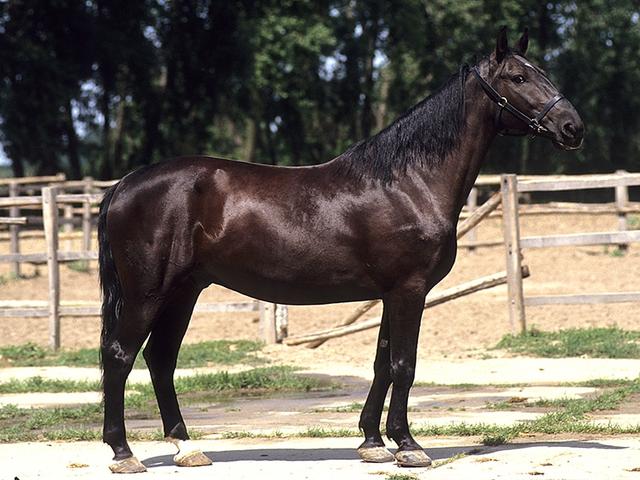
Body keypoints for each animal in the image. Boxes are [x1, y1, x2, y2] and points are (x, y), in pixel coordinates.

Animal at [99, 27, 584, 473]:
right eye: (519, 77)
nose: (572, 127)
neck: (409, 182)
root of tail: (125, 184)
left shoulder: (391, 293)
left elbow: (382, 362)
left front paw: (372, 441)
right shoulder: (409, 290)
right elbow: (404, 364)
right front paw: (408, 446)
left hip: (184, 292)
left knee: (160, 359)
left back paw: (187, 448)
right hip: (149, 293)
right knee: (120, 356)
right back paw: (124, 453)